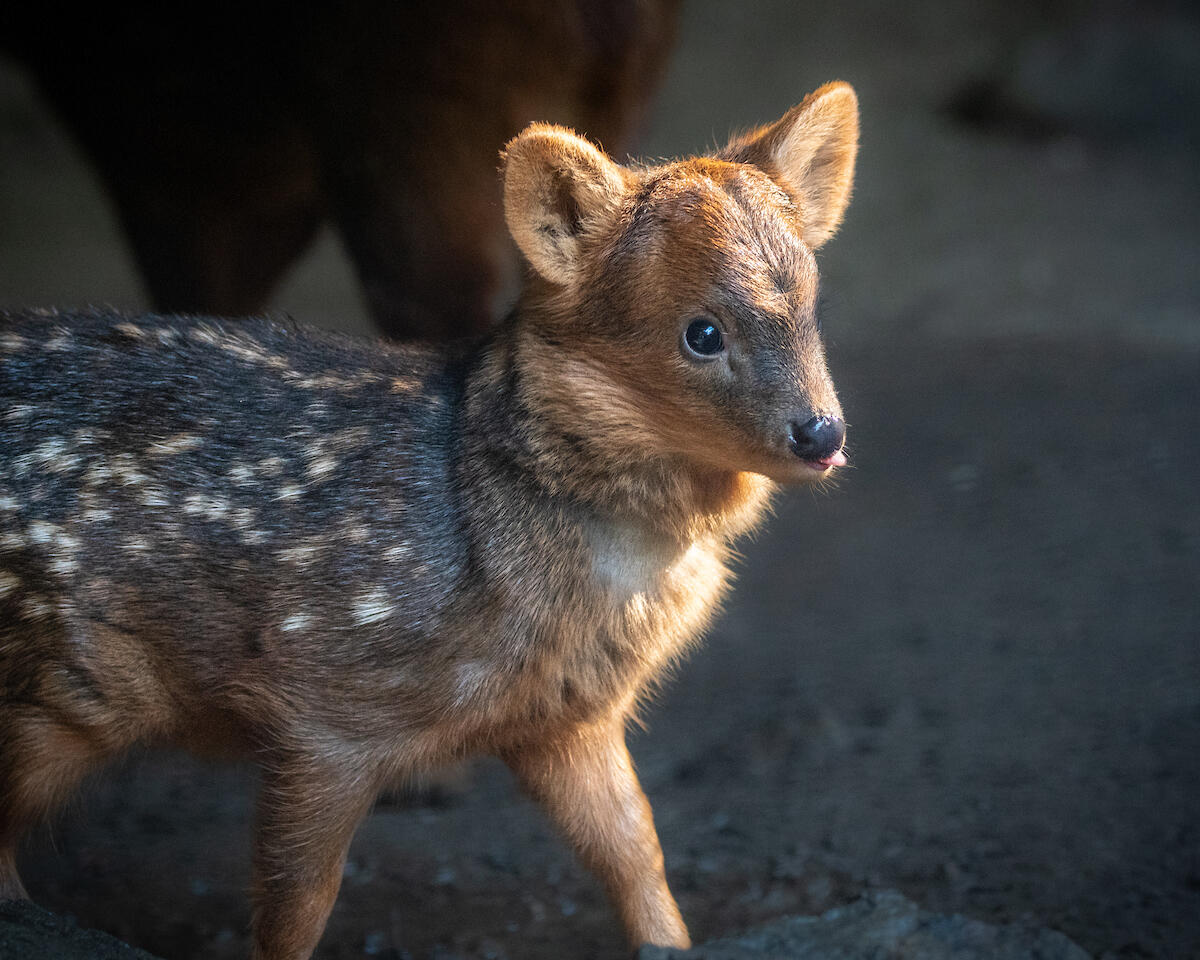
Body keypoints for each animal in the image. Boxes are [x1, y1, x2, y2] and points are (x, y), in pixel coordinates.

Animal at [2, 84, 864, 960]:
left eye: (812, 310)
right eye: (702, 333)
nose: (821, 434)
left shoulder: (565, 717)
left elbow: (633, 847)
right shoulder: (328, 710)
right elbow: (296, 904)